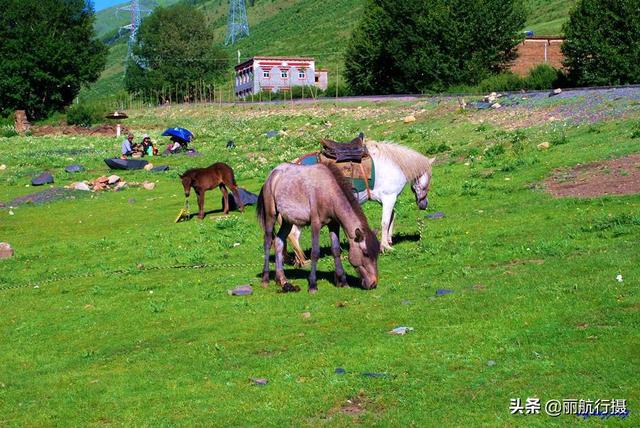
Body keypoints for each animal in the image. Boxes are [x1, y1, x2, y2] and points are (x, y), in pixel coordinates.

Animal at [258, 162, 380, 292]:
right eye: (366, 253)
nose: (373, 283)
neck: (329, 193)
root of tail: (271, 175)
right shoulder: (315, 224)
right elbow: (315, 253)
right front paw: (312, 285)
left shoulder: (333, 224)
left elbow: (336, 250)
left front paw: (342, 281)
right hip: (271, 216)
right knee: (268, 242)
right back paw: (265, 279)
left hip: (287, 221)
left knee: (278, 242)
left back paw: (282, 279)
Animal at [288, 139, 436, 266]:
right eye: (429, 178)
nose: (424, 204)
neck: (393, 165)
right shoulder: (389, 198)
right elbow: (385, 222)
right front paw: (385, 247)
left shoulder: (384, 200)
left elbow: (392, 217)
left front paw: (388, 240)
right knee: (294, 234)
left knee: (293, 234)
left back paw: (300, 261)